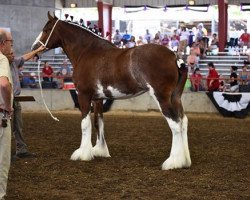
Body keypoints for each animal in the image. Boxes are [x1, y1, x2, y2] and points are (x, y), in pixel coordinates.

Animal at [31, 12, 191, 171]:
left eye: (46, 30)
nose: (34, 48)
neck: (87, 52)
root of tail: (174, 56)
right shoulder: (98, 98)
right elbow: (99, 122)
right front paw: (99, 150)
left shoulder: (83, 95)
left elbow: (85, 124)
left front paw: (83, 154)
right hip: (175, 97)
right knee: (183, 121)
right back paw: (184, 161)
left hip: (162, 97)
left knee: (175, 124)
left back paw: (173, 162)